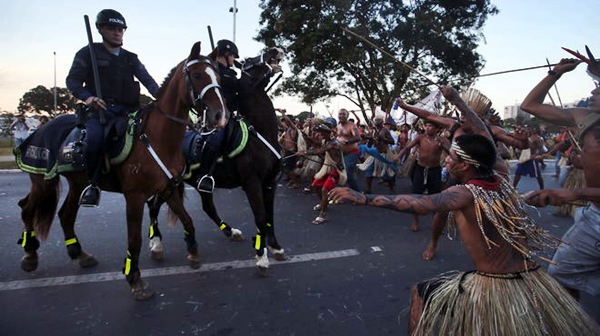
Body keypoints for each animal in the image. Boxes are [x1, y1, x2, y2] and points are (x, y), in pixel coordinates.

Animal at [15, 40, 230, 300]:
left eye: (218, 75)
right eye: (197, 75)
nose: (221, 116)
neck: (159, 138)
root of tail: (40, 129)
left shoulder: (168, 188)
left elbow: (188, 220)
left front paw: (194, 253)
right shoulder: (134, 197)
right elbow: (134, 239)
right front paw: (134, 279)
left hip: (78, 183)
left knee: (65, 215)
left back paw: (79, 254)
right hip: (42, 181)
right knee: (27, 209)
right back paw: (29, 254)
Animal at [145, 46, 286, 276]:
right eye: (248, 61)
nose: (275, 50)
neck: (261, 134)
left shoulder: (269, 184)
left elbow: (269, 217)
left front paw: (275, 247)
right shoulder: (252, 184)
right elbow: (260, 216)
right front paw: (261, 257)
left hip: (200, 184)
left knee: (208, 208)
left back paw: (231, 231)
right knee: (154, 205)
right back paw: (156, 243)